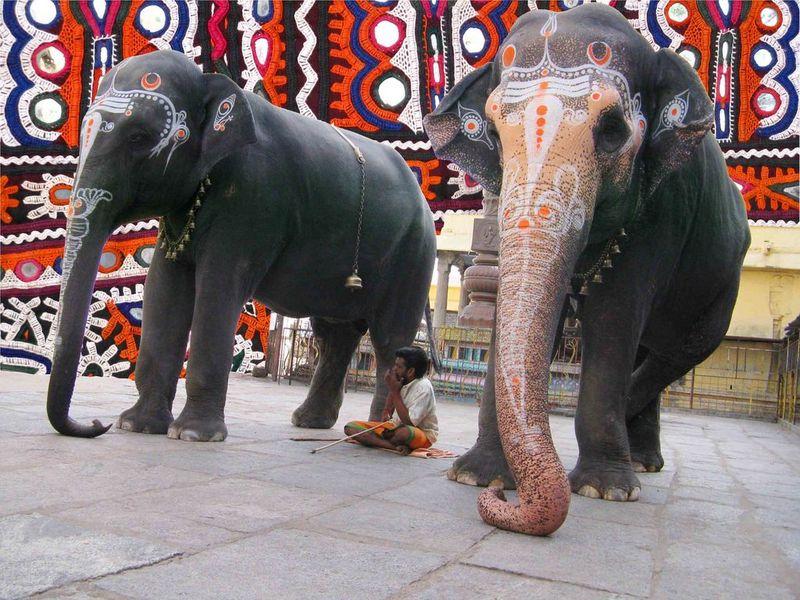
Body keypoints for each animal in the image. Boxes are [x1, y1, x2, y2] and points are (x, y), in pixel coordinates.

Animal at [48, 50, 438, 440]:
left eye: (138, 137)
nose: (96, 424)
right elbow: (163, 287)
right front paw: (137, 425)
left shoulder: (255, 197)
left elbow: (218, 288)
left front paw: (192, 435)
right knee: (334, 335)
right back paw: (311, 422)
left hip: (414, 254)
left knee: (389, 340)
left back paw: (375, 431)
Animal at [424, 4, 752, 536]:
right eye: (492, 131)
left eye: (613, 129)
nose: (501, 502)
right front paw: (477, 476)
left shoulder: (663, 209)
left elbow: (615, 316)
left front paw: (605, 489)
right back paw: (641, 459)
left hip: (724, 284)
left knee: (680, 350)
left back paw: (635, 460)